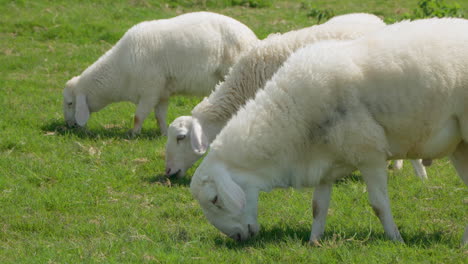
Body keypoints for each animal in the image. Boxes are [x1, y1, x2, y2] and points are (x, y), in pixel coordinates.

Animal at [62, 11, 258, 136]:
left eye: (70, 103)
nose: (68, 126)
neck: (119, 73)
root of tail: (252, 37)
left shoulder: (150, 91)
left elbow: (138, 116)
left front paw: (133, 134)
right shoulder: (162, 93)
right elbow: (159, 116)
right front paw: (163, 132)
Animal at [189, 18, 468, 245]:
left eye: (215, 199)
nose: (237, 237)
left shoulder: (369, 153)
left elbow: (379, 205)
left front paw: (396, 239)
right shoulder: (324, 159)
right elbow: (318, 206)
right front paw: (314, 242)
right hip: (459, 147)